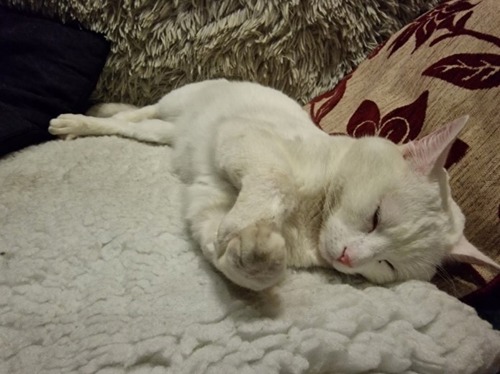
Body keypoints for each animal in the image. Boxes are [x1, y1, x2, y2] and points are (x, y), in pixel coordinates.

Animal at [48, 78, 498, 290]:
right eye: (375, 218)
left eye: (388, 265)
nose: (349, 258)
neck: (308, 225)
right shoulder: (243, 136)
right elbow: (275, 181)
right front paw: (245, 226)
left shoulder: (206, 203)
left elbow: (237, 260)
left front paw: (252, 251)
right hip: (174, 103)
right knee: (133, 113)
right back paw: (79, 118)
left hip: (161, 135)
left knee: (131, 126)